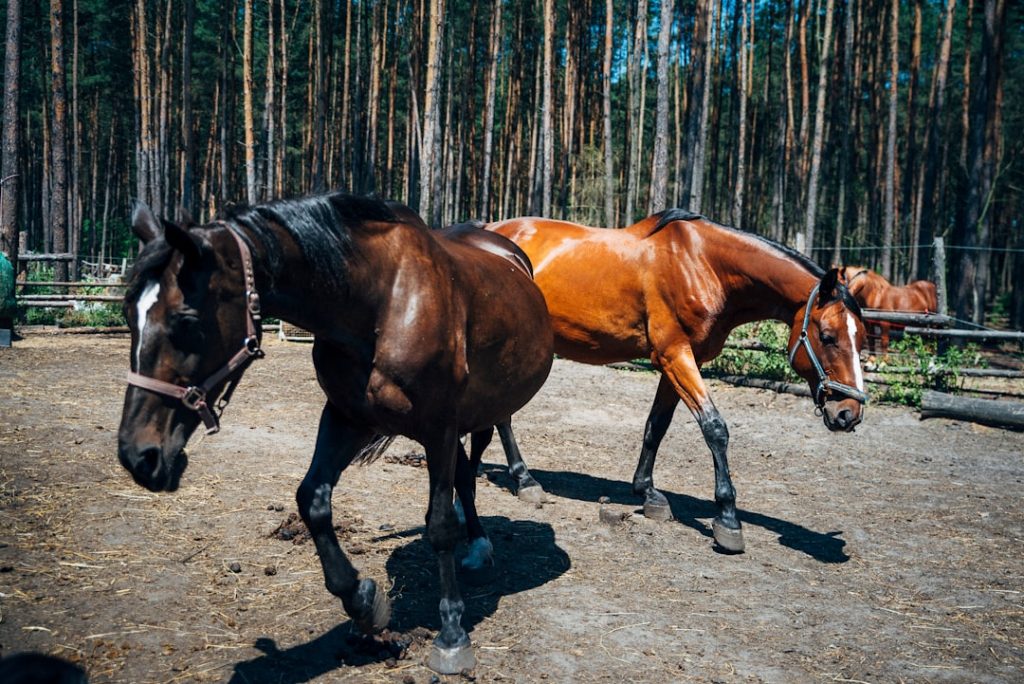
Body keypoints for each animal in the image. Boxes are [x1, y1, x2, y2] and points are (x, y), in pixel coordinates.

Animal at [116, 192, 554, 674]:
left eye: (186, 321)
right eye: (128, 315)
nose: (139, 456)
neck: (381, 303)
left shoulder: (438, 427)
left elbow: (439, 523)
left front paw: (453, 635)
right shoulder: (347, 417)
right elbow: (313, 499)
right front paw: (363, 601)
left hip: (488, 402)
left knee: (490, 440)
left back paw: (511, 498)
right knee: (464, 473)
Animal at [484, 209, 868, 553]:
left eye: (862, 337)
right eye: (828, 336)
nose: (848, 413)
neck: (704, 265)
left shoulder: (679, 361)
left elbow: (657, 425)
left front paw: (648, 493)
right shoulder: (674, 356)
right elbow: (715, 428)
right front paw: (727, 519)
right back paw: (525, 480)